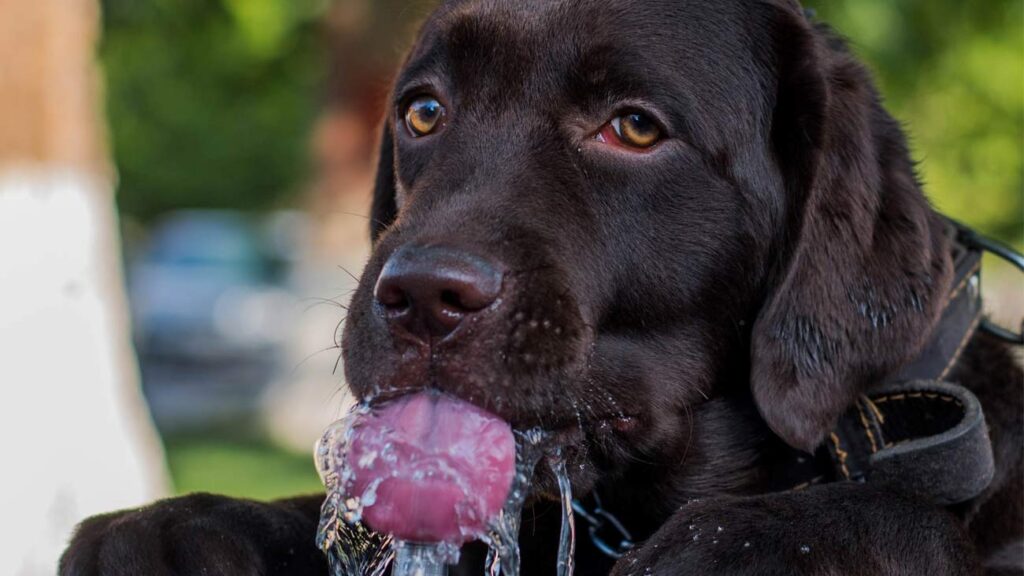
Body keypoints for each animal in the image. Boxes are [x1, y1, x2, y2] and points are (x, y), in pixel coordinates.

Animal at [59, 1, 1019, 573]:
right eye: (423, 111)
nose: (422, 295)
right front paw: (177, 526)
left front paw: (747, 542)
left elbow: (891, 511)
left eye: (635, 127)